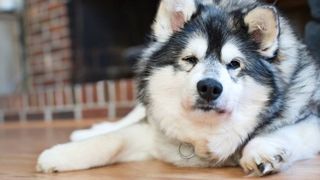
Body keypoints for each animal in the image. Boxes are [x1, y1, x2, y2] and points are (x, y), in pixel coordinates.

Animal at [37, 0, 320, 175]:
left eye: (234, 64)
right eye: (190, 59)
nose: (209, 88)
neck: (206, 134)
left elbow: (280, 130)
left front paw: (260, 150)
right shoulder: (154, 133)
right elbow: (113, 139)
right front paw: (60, 155)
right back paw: (85, 132)